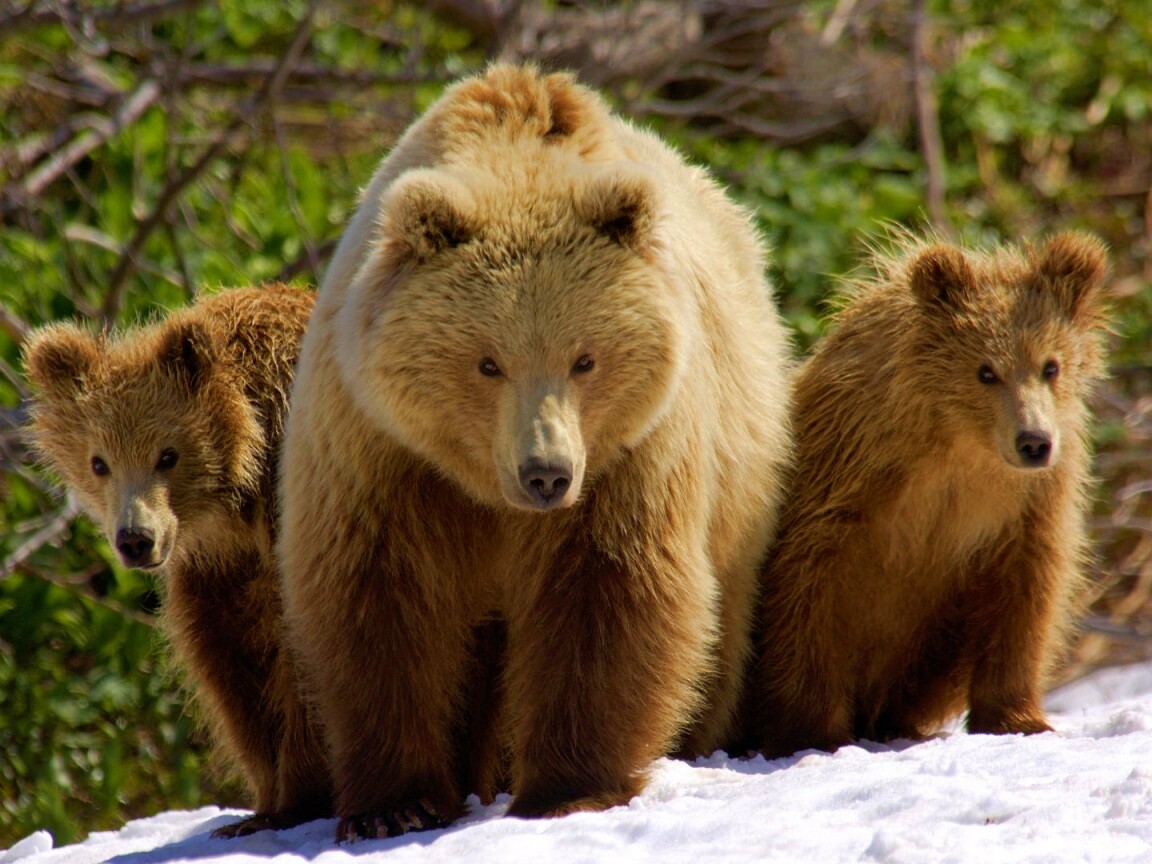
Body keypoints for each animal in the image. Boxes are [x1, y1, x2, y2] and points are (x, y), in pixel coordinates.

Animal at [22, 284, 329, 838]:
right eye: (99, 462)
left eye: (168, 454)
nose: (135, 539)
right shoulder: (216, 571)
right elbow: (229, 665)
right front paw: (261, 804)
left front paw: (299, 798)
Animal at [278, 59, 792, 838]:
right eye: (488, 362)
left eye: (585, 358)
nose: (545, 473)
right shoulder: (381, 450)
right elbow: (378, 598)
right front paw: (394, 805)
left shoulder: (630, 453)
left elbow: (607, 589)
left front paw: (569, 788)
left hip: (740, 472)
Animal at [746, 231, 1105, 755]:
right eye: (985, 371)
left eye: (1050, 366)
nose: (1034, 441)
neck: (959, 446)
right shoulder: (848, 479)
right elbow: (808, 591)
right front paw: (812, 731)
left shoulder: (1026, 505)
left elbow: (1025, 594)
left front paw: (1018, 718)